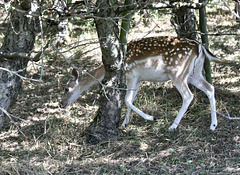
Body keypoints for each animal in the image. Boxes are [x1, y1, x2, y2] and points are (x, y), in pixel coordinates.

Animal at [60, 36, 223, 131]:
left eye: (67, 88)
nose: (61, 104)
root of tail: (200, 47)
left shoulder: (131, 74)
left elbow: (127, 100)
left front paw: (151, 118)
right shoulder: (139, 79)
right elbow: (130, 100)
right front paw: (124, 123)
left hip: (177, 72)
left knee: (188, 96)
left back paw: (173, 126)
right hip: (195, 72)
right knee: (210, 88)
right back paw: (213, 125)